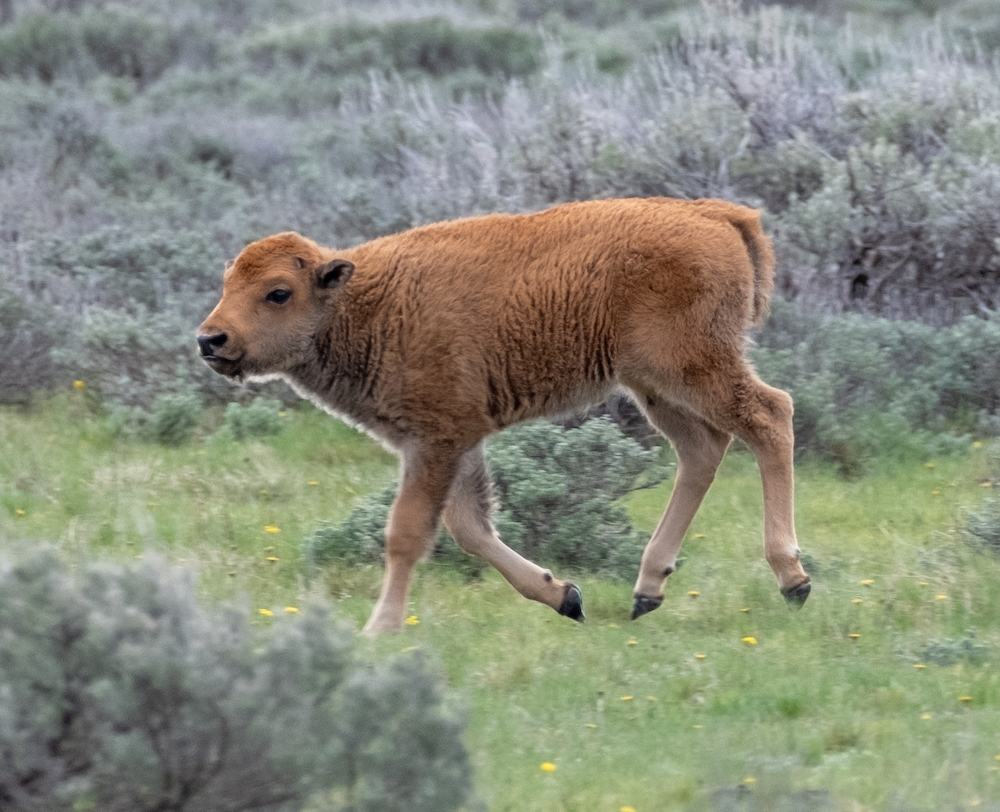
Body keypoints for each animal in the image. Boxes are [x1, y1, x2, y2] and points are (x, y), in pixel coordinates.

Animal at [197, 197, 812, 636]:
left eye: (278, 292)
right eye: (226, 284)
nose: (210, 339)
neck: (359, 301)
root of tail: (714, 214)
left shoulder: (436, 439)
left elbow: (408, 532)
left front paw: (380, 628)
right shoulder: (454, 441)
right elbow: (469, 527)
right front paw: (565, 596)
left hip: (692, 369)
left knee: (769, 417)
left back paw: (793, 580)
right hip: (653, 385)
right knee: (703, 450)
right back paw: (647, 590)